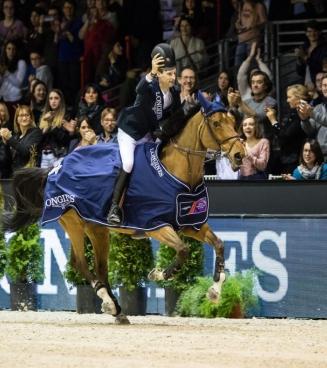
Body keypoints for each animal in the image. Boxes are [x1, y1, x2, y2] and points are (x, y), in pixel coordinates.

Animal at [0, 96, 246, 324]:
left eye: (233, 122)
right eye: (216, 123)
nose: (239, 155)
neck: (176, 172)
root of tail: (55, 168)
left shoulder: (189, 225)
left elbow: (219, 245)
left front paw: (214, 292)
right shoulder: (156, 226)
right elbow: (183, 250)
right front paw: (159, 273)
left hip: (97, 229)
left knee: (98, 268)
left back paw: (117, 310)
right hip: (74, 223)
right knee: (81, 264)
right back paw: (109, 303)